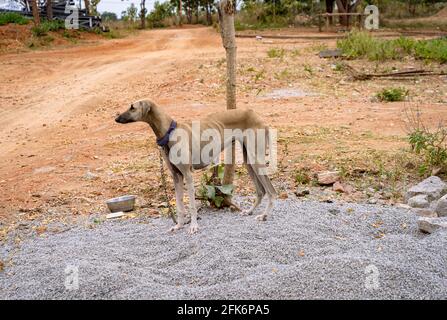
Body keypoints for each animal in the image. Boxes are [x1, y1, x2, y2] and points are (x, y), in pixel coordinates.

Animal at [115, 100, 276, 235]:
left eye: (132, 107)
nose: (116, 118)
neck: (170, 132)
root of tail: (257, 115)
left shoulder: (188, 174)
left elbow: (192, 205)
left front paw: (193, 226)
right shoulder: (176, 176)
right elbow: (179, 205)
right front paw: (179, 225)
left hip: (256, 160)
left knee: (271, 190)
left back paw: (264, 215)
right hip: (248, 160)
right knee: (260, 191)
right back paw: (250, 211)